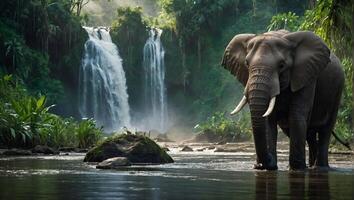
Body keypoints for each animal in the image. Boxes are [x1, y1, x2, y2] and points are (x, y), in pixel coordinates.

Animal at [223, 30, 344, 170]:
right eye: (247, 64)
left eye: (281, 65)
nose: (259, 164)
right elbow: (269, 121)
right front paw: (268, 167)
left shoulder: (306, 77)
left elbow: (296, 116)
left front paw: (297, 168)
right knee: (308, 134)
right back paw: (311, 166)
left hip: (337, 90)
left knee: (325, 130)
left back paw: (319, 167)